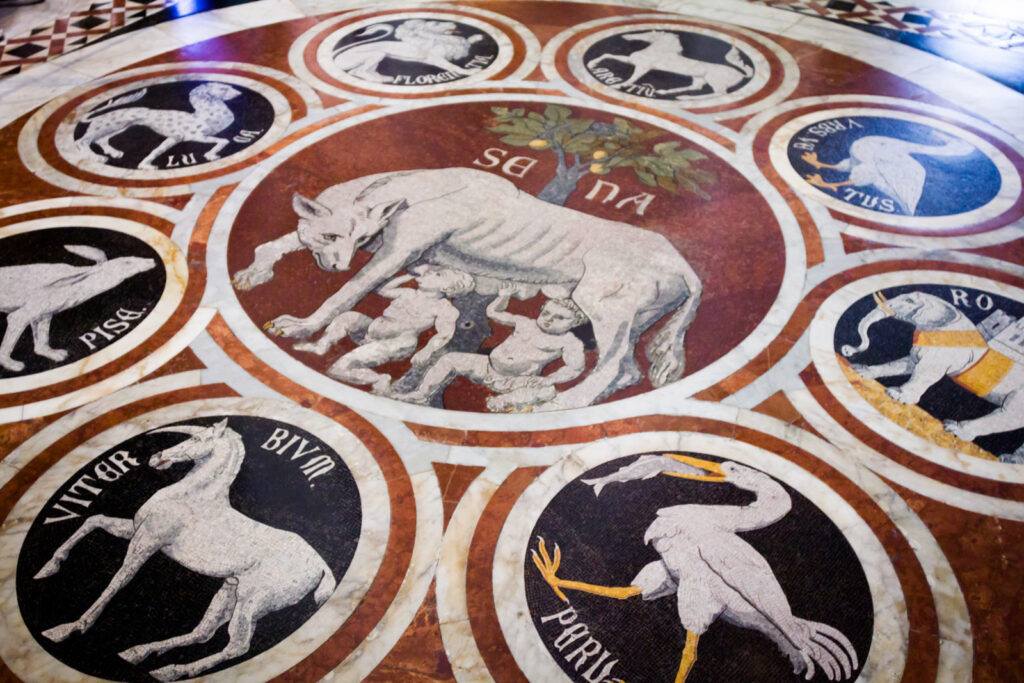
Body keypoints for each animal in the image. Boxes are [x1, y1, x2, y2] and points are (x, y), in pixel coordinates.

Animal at [32, 419, 333, 679]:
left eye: (197, 439)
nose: (157, 457)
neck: (191, 496)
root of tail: (321, 567)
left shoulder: (148, 541)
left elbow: (119, 579)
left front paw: (66, 629)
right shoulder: (136, 530)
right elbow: (94, 520)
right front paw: (47, 569)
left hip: (251, 601)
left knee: (236, 645)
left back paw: (170, 670)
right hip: (230, 590)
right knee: (203, 632)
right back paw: (137, 652)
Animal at [232, 167, 700, 409]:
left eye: (355, 236)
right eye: (333, 236)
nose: (337, 263)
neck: (411, 189)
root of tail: (684, 265)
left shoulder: (392, 253)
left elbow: (343, 294)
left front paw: (300, 326)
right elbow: (272, 244)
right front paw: (253, 274)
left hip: (603, 308)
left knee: (610, 363)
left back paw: (561, 405)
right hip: (634, 321)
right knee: (629, 369)